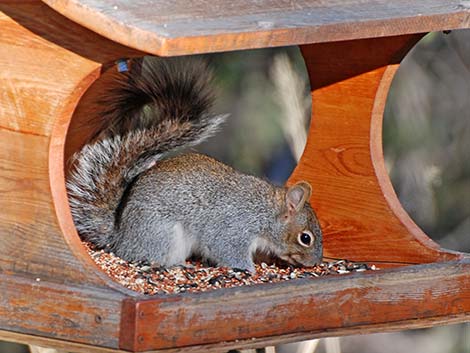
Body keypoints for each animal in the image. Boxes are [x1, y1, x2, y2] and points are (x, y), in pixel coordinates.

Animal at [67, 55, 324, 272]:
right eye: (305, 238)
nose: (314, 263)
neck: (267, 213)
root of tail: (120, 239)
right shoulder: (234, 228)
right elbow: (226, 249)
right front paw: (249, 270)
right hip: (163, 236)